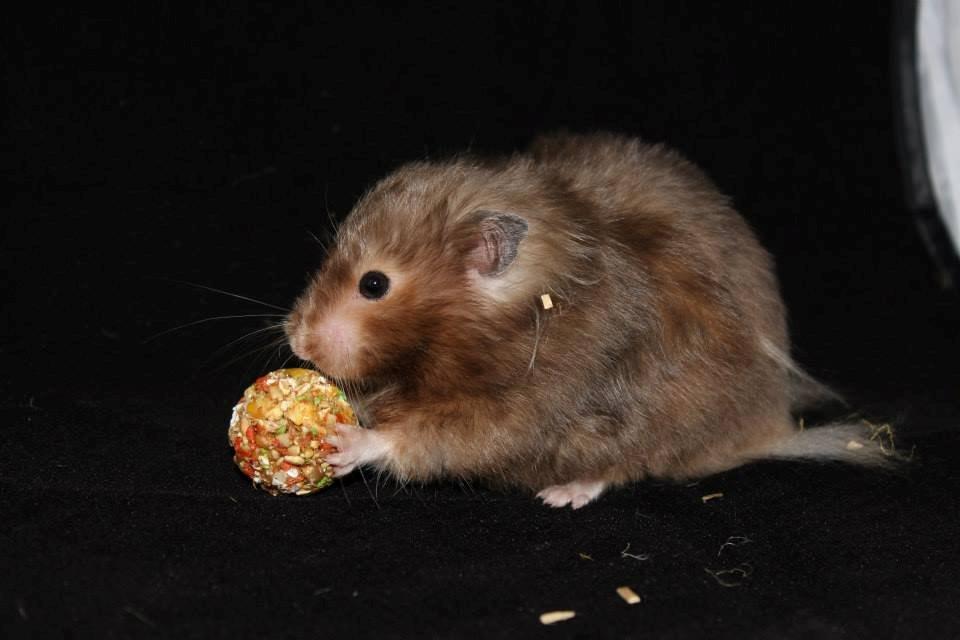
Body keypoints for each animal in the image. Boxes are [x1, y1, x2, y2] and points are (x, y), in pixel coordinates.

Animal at [286, 132, 892, 508]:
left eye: (374, 285)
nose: (296, 340)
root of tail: (770, 424)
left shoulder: (541, 394)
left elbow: (443, 438)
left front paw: (345, 442)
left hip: (662, 420)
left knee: (628, 463)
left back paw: (564, 493)